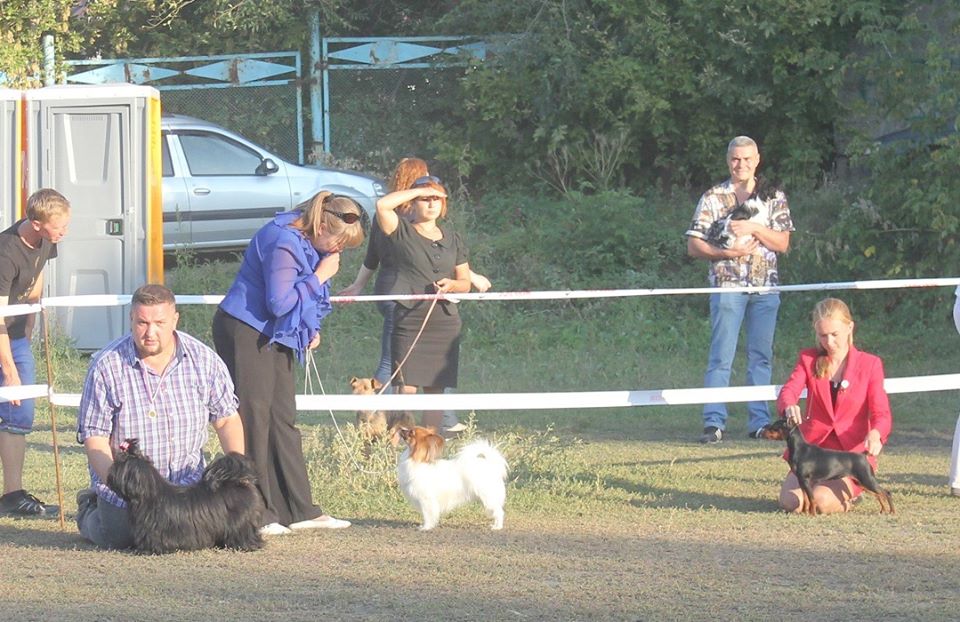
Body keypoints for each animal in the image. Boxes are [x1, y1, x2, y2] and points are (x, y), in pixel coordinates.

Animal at [760, 419, 894, 515]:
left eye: (774, 427)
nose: (761, 431)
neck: (799, 449)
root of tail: (863, 454)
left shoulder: (806, 480)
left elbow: (812, 499)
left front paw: (813, 514)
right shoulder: (801, 481)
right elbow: (806, 499)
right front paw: (805, 513)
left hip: (867, 480)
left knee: (886, 493)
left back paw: (892, 512)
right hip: (861, 483)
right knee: (878, 495)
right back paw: (882, 510)